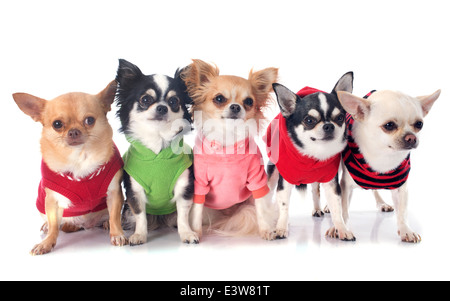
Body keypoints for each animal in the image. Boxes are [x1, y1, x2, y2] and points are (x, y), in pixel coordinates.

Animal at [12, 79, 128, 253]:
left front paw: (117, 234)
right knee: (56, 223)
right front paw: (46, 242)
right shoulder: (52, 200)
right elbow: (54, 226)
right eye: (57, 124)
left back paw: (105, 223)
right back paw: (49, 226)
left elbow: (115, 217)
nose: (73, 131)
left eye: (89, 120)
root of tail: (85, 225)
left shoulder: (114, 193)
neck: (79, 158)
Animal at [115, 58, 198, 244]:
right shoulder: (135, 192)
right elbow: (140, 215)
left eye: (174, 101)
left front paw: (187, 233)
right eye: (146, 99)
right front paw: (139, 235)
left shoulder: (184, 186)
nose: (162, 107)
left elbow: (183, 215)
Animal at [182, 58, 278, 237]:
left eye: (249, 102)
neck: (227, 138)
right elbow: (197, 210)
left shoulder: (257, 180)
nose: (235, 106)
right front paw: (196, 232)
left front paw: (266, 231)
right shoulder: (199, 183)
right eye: (219, 99)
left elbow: (261, 208)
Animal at [264, 73, 356, 241]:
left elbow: (336, 208)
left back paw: (318, 209)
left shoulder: (330, 181)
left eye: (340, 118)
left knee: (315, 190)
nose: (328, 126)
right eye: (309, 120)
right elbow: (284, 206)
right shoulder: (284, 182)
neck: (312, 154)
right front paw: (281, 227)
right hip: (272, 172)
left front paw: (341, 229)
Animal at [332, 88, 442, 241]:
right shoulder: (346, 186)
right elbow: (343, 209)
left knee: (374, 190)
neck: (383, 155)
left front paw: (406, 230)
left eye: (419, 124)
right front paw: (340, 228)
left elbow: (402, 211)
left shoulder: (401, 188)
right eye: (389, 125)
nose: (411, 137)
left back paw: (382, 203)